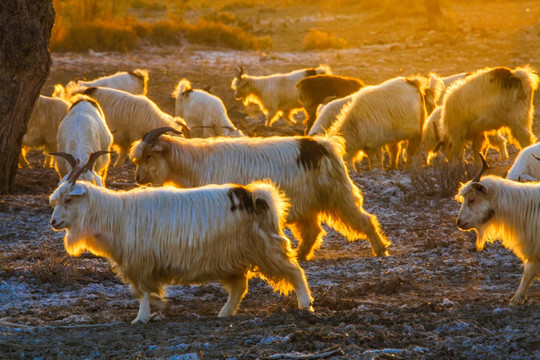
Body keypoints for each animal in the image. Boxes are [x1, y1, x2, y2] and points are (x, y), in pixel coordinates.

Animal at [50, 155, 314, 324]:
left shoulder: (141, 262)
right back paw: (224, 313)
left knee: (294, 271)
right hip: (231, 257)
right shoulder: (139, 264)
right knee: (240, 286)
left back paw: (305, 305)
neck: (115, 214)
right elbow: (141, 291)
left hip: (264, 248)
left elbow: (142, 293)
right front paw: (159, 304)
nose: (53, 222)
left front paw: (142, 317)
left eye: (69, 200)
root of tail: (253, 195)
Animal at [129, 128, 390, 260]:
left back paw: (380, 250)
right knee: (313, 231)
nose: (138, 179)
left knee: (364, 220)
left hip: (337, 196)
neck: (196, 163)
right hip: (307, 205)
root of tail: (323, 145)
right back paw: (299, 256)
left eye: (149, 155)